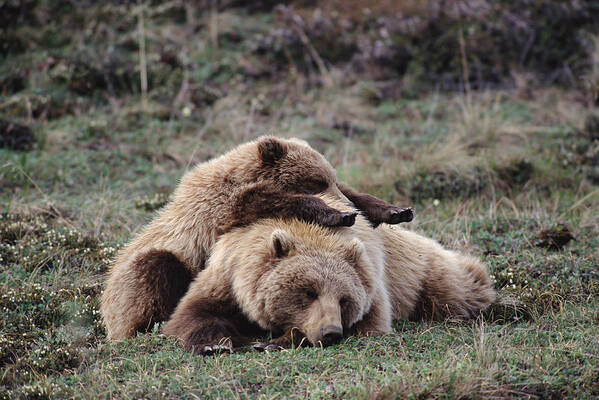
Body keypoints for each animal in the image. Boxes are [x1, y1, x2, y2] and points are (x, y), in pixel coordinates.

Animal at [102, 136, 412, 340]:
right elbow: (266, 200)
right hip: (137, 278)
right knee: (154, 268)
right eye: (316, 181)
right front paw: (336, 214)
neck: (240, 176)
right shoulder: (218, 210)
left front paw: (394, 210)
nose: (348, 209)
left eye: (331, 178)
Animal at [162, 194, 494, 354]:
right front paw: (215, 343)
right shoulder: (228, 274)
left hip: (423, 273)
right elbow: (193, 313)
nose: (331, 332)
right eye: (308, 291)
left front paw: (273, 341)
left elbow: (370, 325)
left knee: (458, 289)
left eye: (345, 299)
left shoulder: (372, 284)